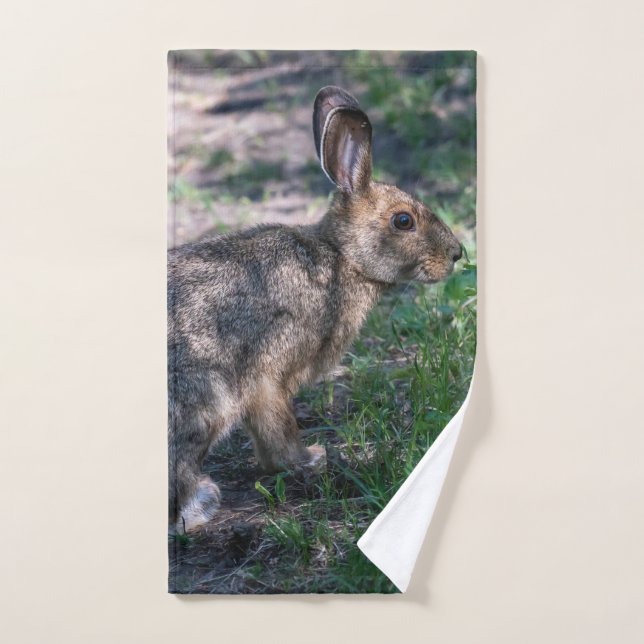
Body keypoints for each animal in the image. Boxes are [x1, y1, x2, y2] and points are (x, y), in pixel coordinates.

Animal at [168, 86, 463, 533]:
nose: (457, 254)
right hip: (204, 398)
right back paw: (201, 503)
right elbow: (278, 431)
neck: (341, 257)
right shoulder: (267, 375)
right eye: (403, 221)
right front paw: (310, 459)